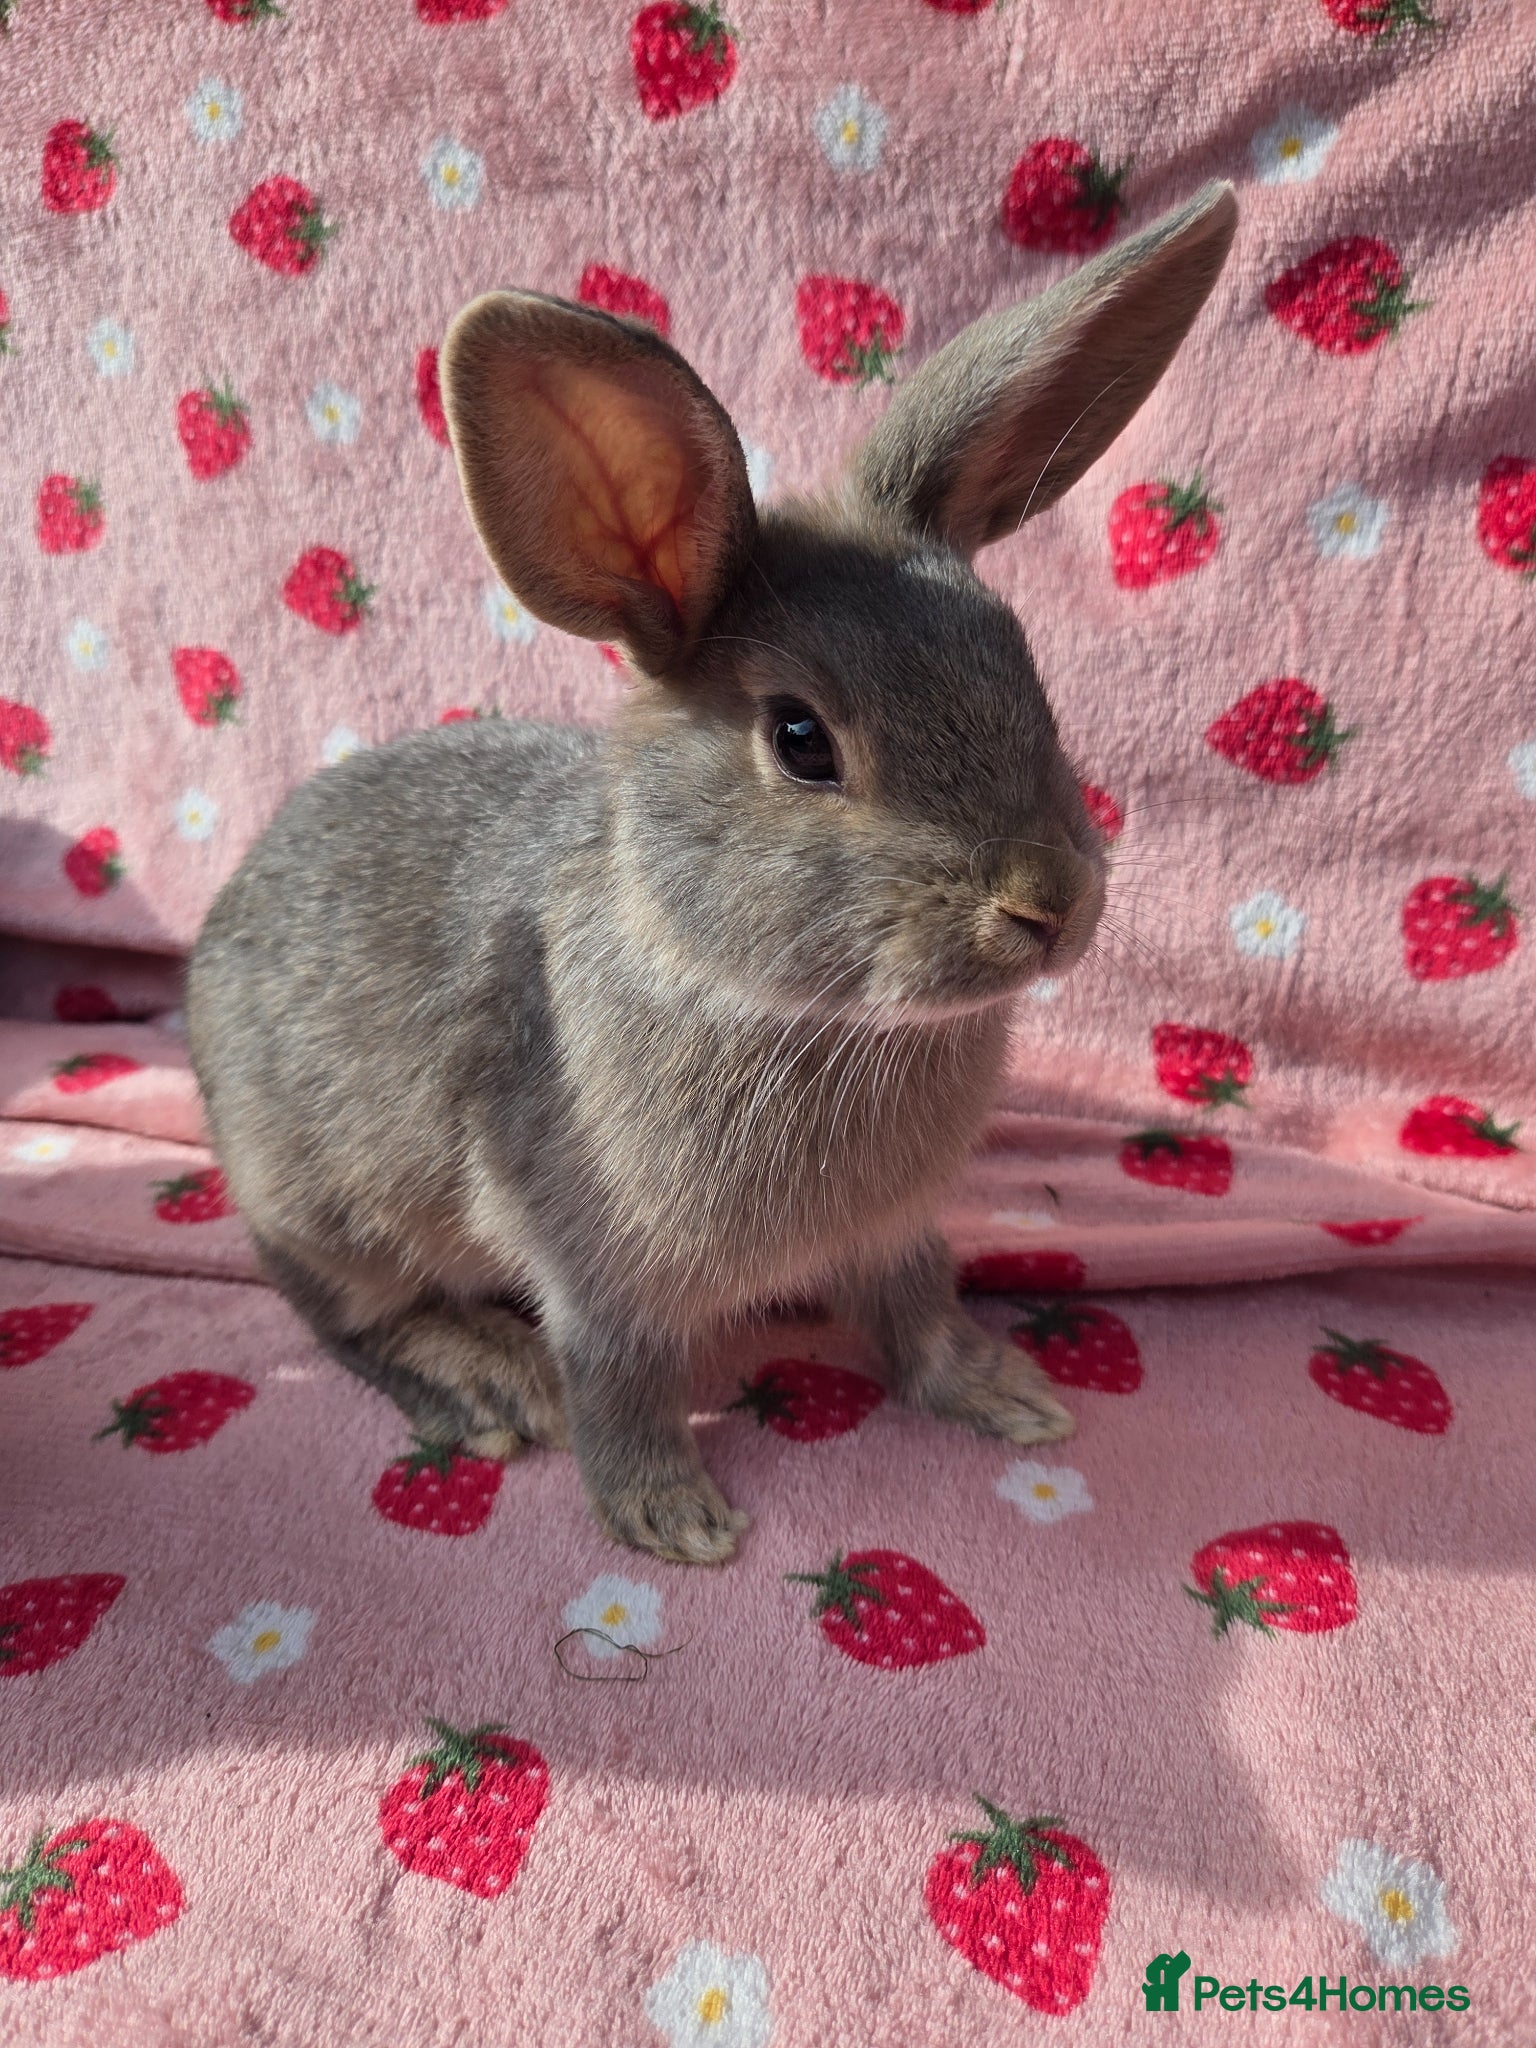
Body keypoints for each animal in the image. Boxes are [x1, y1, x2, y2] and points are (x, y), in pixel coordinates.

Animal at [187, 180, 1237, 1566]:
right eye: (800, 739)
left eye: (1024, 669)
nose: (1051, 902)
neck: (769, 1003)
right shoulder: (597, 1271)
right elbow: (619, 1380)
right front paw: (672, 1517)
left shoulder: (895, 1231)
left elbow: (920, 1304)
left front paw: (1006, 1393)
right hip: (325, 1201)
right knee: (339, 1310)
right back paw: (486, 1375)